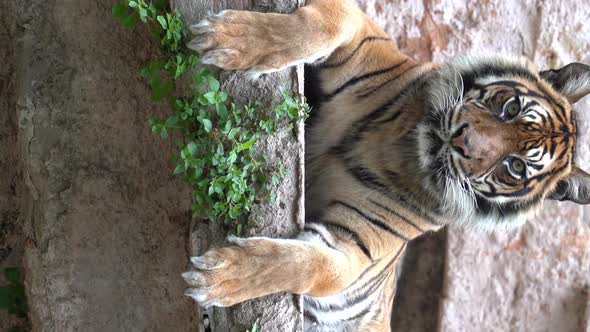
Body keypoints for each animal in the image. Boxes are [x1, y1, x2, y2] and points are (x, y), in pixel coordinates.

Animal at [183, 1, 590, 330]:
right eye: (510, 108)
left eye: (515, 167)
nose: (463, 141)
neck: (395, 146)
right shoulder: (363, 32)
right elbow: (330, 23)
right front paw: (231, 39)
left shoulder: (356, 250)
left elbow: (313, 268)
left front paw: (218, 277)